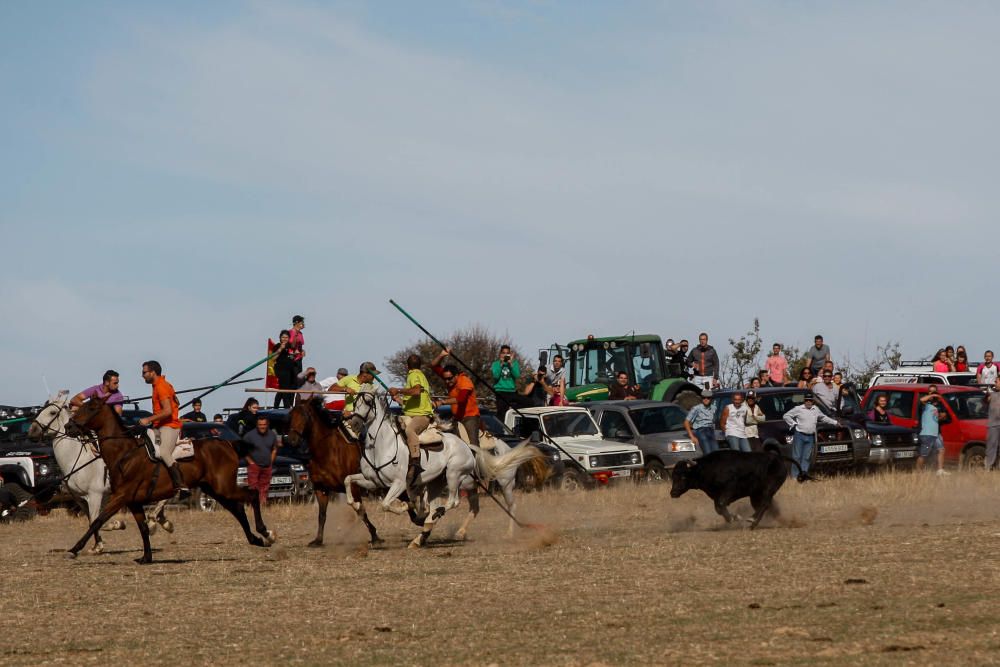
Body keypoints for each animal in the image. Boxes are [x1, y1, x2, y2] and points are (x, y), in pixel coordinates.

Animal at [28, 392, 171, 552]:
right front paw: (97, 544)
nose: (32, 431)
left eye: (52, 412)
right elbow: (91, 520)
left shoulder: (95, 495)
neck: (77, 458)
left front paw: (116, 526)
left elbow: (96, 520)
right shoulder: (80, 499)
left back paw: (156, 523)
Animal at [68, 400, 274, 568]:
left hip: (224, 487)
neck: (124, 453)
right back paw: (258, 539)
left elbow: (97, 520)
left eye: (91, 408)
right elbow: (143, 528)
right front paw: (146, 557)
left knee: (252, 494)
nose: (68, 426)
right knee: (238, 509)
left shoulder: (121, 497)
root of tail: (228, 444)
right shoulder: (133, 501)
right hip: (216, 490)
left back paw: (265, 532)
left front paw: (75, 549)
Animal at [290, 396, 382, 548]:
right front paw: (318, 540)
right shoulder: (321, 489)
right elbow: (322, 515)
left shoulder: (354, 487)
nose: (292, 440)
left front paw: (375, 537)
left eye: (305, 415)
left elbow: (361, 511)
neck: (327, 451)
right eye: (290, 415)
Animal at [344, 392, 540, 548]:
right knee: (468, 508)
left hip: (475, 478)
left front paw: (406, 507)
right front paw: (356, 504)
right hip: (443, 483)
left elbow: (386, 504)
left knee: (459, 502)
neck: (383, 445)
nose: (354, 423)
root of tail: (467, 446)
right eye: (354, 402)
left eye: (368, 402)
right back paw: (434, 532)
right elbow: (348, 480)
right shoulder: (372, 480)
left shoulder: (399, 483)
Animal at [668, 452, 800, 528]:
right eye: (673, 476)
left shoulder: (729, 488)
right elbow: (718, 509)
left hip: (769, 488)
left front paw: (734, 517)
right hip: (755, 494)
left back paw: (752, 519)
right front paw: (732, 518)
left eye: (683, 476)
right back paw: (755, 523)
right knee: (764, 506)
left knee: (765, 503)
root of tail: (779, 457)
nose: (673, 493)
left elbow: (721, 505)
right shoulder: (716, 495)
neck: (708, 468)